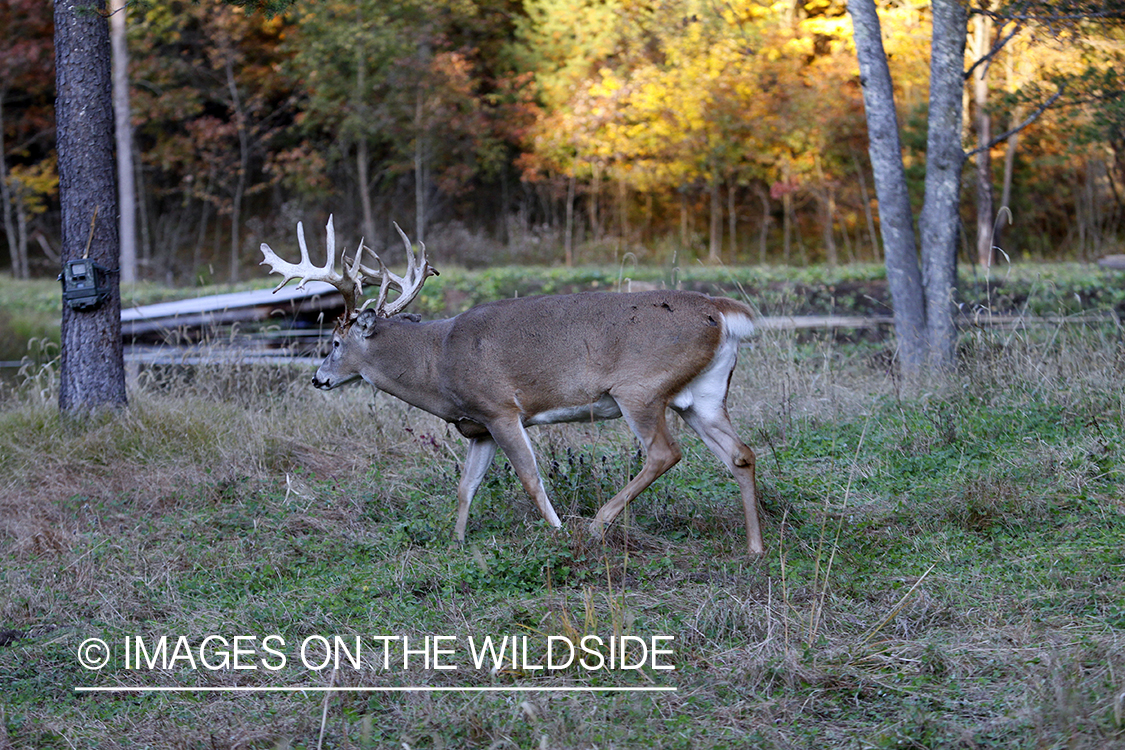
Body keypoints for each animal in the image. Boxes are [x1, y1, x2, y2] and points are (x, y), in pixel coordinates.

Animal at [258, 213, 765, 555]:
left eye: (335, 342)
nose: (318, 378)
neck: (437, 361)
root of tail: (721, 311)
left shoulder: (501, 408)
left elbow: (530, 477)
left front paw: (558, 531)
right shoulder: (478, 426)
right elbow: (466, 486)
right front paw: (456, 543)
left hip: (638, 389)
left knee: (665, 452)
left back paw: (597, 524)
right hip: (702, 394)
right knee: (740, 453)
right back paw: (754, 547)